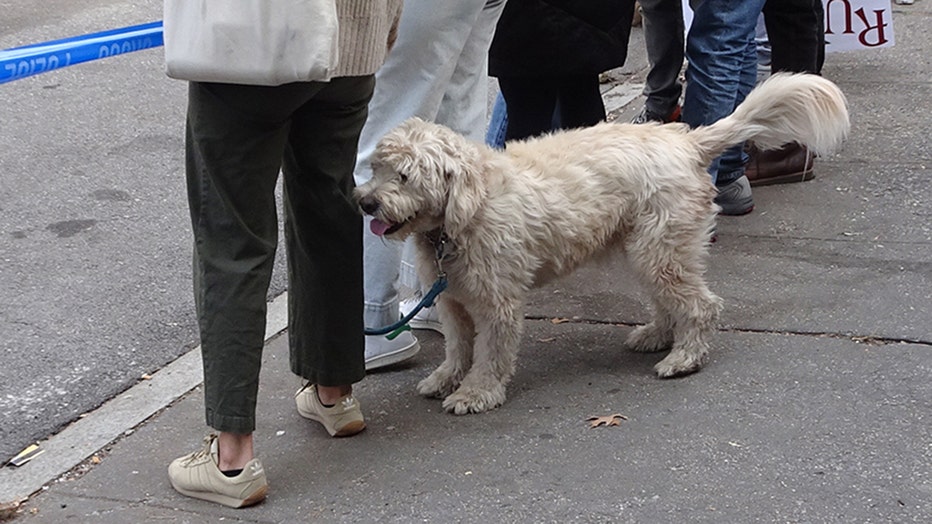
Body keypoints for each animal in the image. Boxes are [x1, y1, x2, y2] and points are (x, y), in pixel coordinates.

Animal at [354, 72, 848, 414]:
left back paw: (684, 358)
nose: (366, 202)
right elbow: (458, 347)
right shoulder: (453, 299)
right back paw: (657, 336)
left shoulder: (498, 304)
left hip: (660, 250)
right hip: (648, 249)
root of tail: (687, 141)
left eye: (405, 175)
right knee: (670, 300)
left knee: (702, 306)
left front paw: (477, 393)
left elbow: (491, 355)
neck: (466, 209)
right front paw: (446, 379)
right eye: (378, 168)